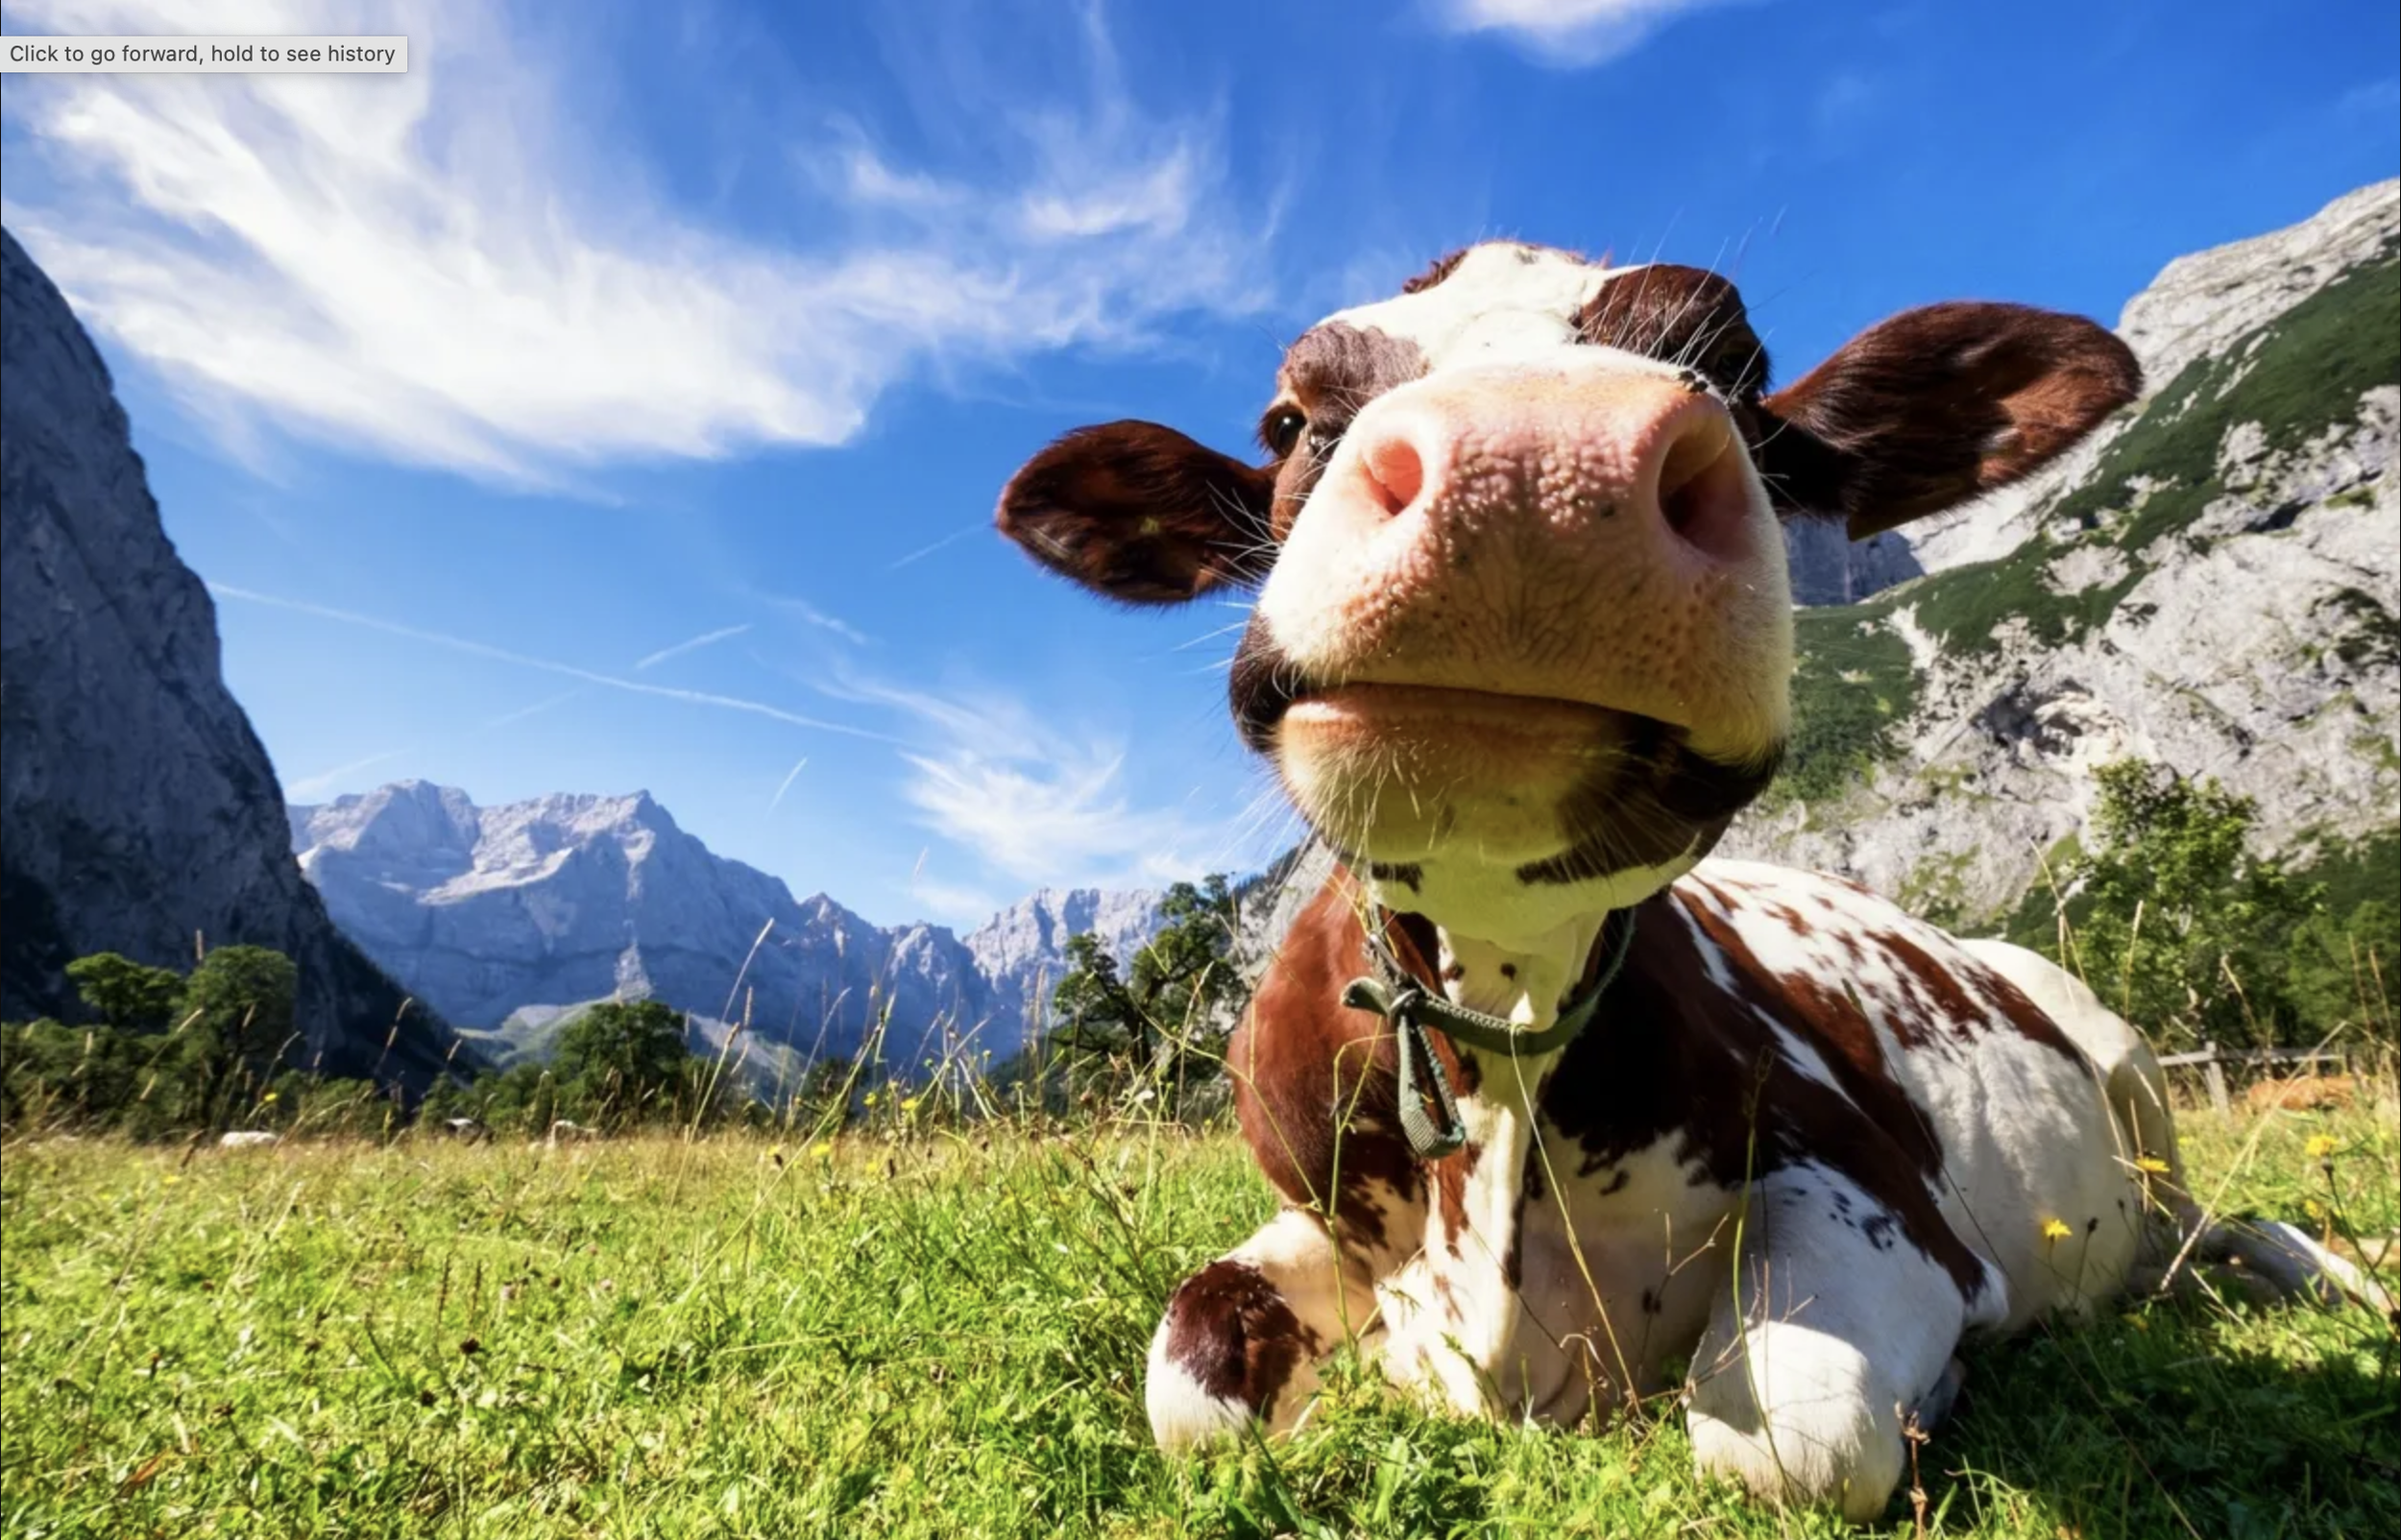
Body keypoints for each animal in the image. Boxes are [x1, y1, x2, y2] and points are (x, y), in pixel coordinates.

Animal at [992, 242, 2370, 1517]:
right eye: (1287, 420)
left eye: (1741, 372)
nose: (1535, 467)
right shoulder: (1312, 1216)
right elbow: (1189, 1386)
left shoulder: (1878, 1192)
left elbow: (1793, 1439)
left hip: (2129, 1071)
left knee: (2213, 1229)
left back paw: (2314, 1272)